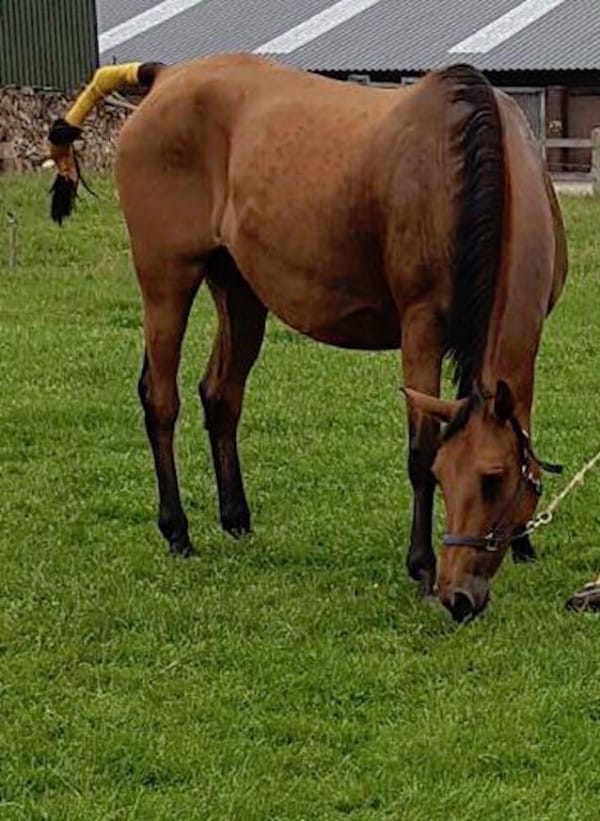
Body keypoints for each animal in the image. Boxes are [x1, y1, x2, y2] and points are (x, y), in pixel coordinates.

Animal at [47, 55, 567, 621]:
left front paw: (523, 544)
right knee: (161, 399)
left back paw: (236, 518)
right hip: (167, 281)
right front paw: (421, 566)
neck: (464, 166)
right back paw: (177, 530)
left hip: (238, 289)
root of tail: (164, 77)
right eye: (445, 475)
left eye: (494, 480)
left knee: (221, 395)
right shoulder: (422, 330)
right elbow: (417, 448)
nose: (459, 597)